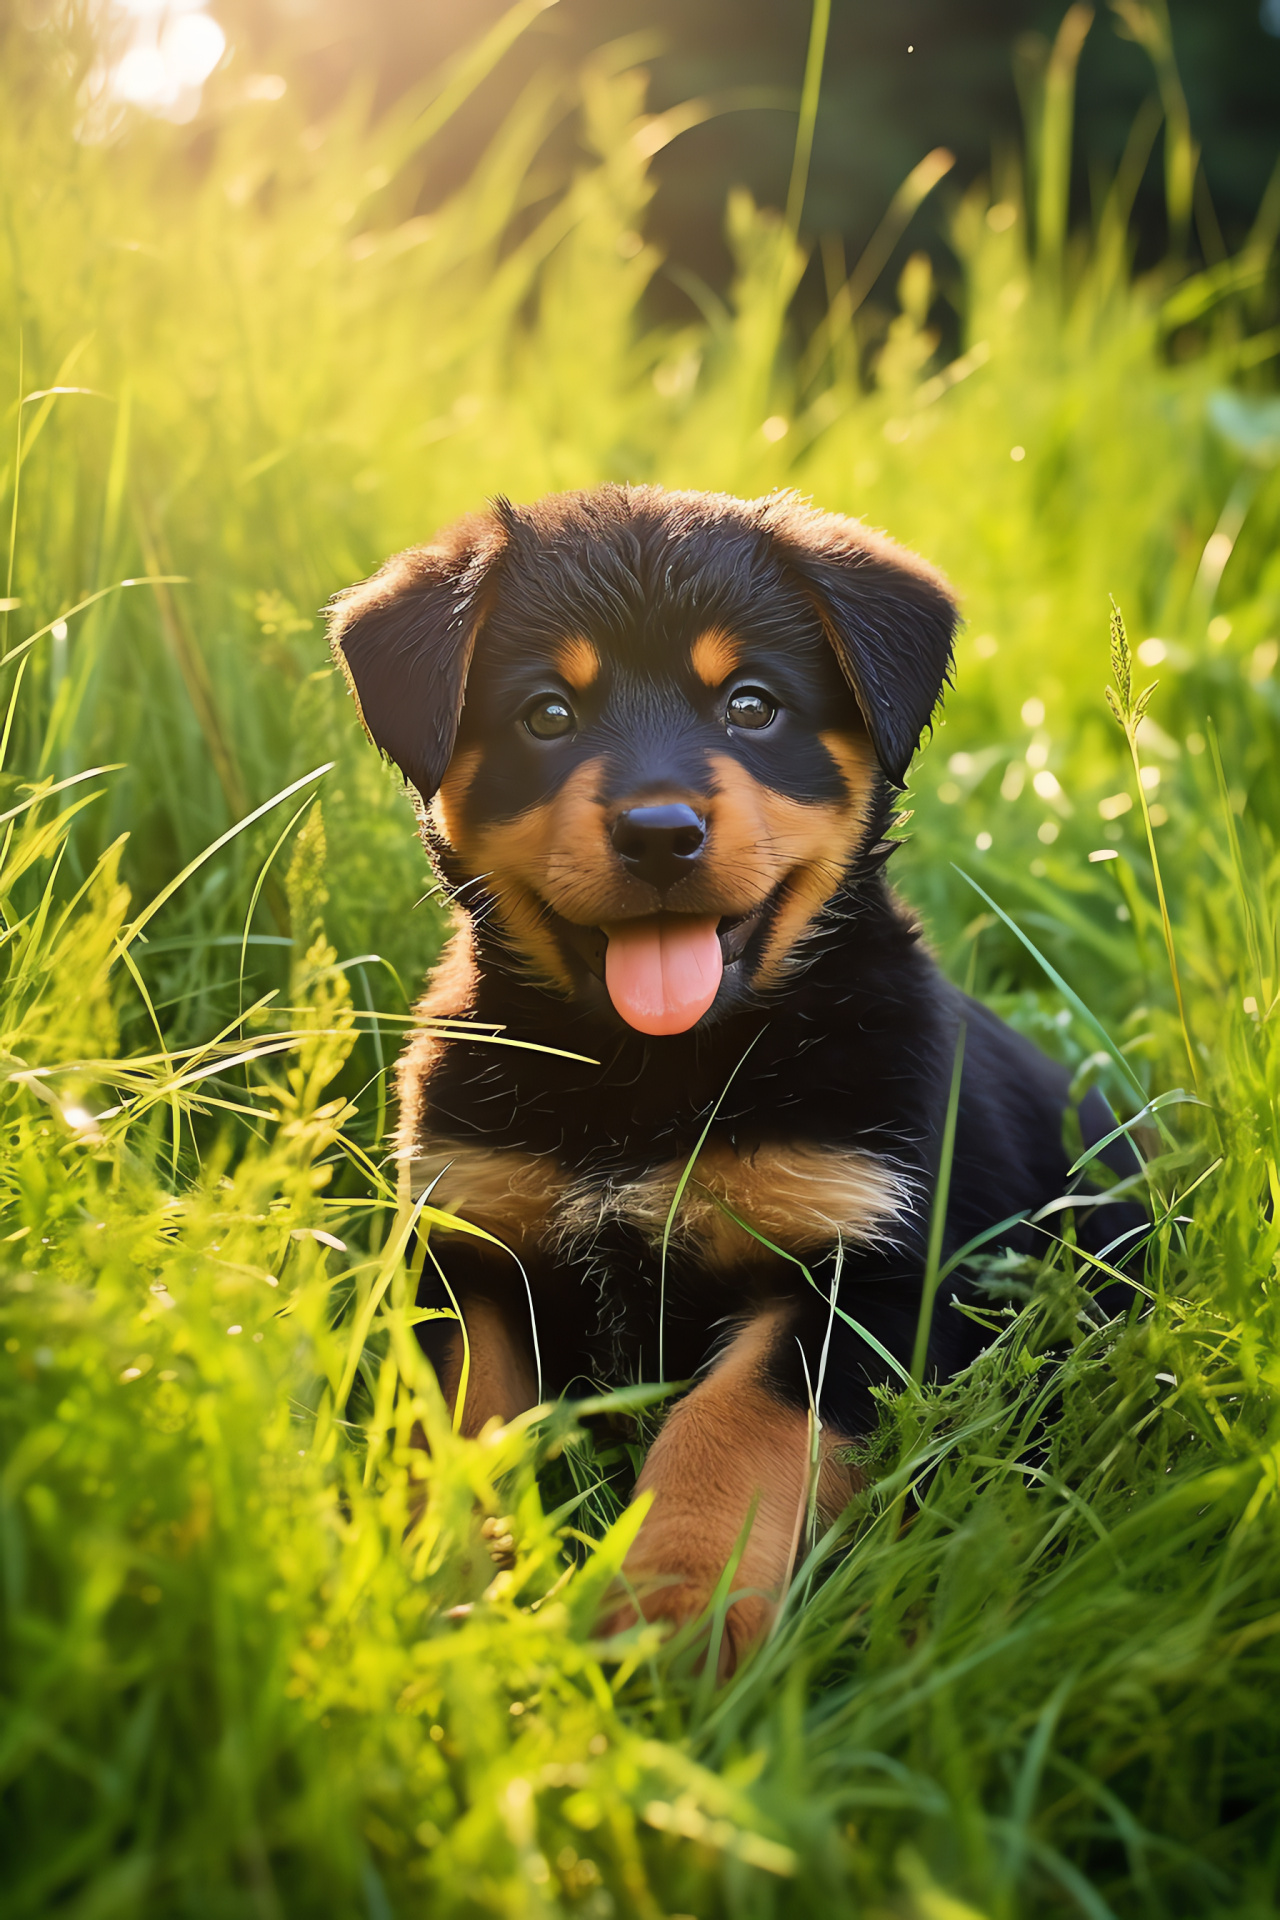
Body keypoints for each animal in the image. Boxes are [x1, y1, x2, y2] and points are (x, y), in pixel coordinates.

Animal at [333, 480, 1143, 1666]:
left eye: (751, 706)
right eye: (546, 715)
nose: (658, 833)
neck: (645, 1075)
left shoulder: (866, 1271)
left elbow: (729, 1423)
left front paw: (670, 1614)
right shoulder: (467, 1247)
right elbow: (459, 1422)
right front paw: (446, 1589)